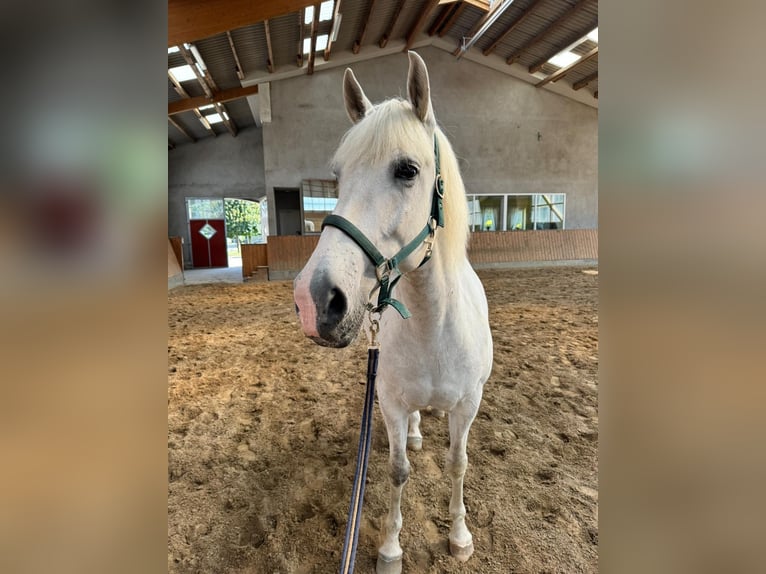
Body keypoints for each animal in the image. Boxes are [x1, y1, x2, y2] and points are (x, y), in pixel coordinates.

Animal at [294, 51, 498, 572]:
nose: (312, 299)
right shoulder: (388, 403)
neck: (434, 324)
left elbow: (458, 464)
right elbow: (397, 469)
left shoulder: (468, 405)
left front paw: (460, 536)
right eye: (337, 176)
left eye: (407, 170)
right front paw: (390, 547)